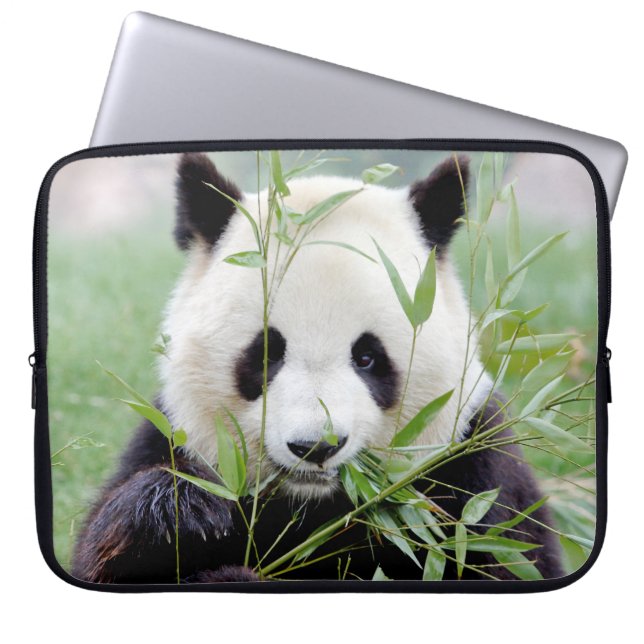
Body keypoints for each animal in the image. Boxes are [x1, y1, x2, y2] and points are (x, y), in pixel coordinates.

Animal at [72, 152, 563, 584]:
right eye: (266, 354)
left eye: (367, 357)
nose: (315, 446)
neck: (313, 503)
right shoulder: (176, 436)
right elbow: (111, 546)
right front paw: (184, 509)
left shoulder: (473, 468)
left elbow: (498, 554)